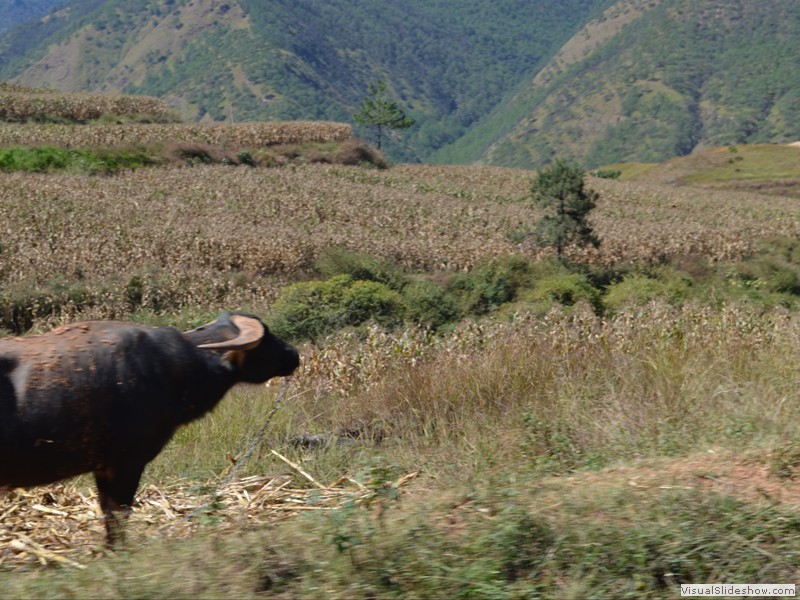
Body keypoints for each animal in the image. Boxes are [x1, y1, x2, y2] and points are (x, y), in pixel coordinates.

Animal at [0, 311, 299, 544]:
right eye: (266, 337)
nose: (294, 354)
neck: (172, 369)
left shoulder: (104, 467)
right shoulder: (126, 462)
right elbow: (117, 515)